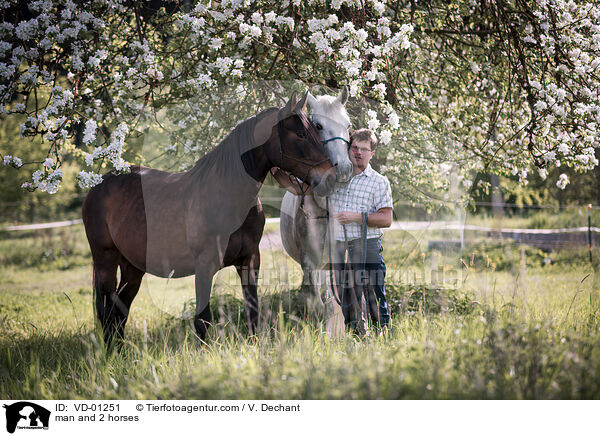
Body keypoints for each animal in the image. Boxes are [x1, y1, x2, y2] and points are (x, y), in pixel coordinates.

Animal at [81, 93, 336, 348]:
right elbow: (202, 320)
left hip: (133, 267)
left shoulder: (250, 260)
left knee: (120, 311)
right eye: (300, 134)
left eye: (316, 130)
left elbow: (253, 310)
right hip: (105, 260)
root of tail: (98, 184)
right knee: (107, 312)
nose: (330, 178)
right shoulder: (204, 266)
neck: (227, 196)